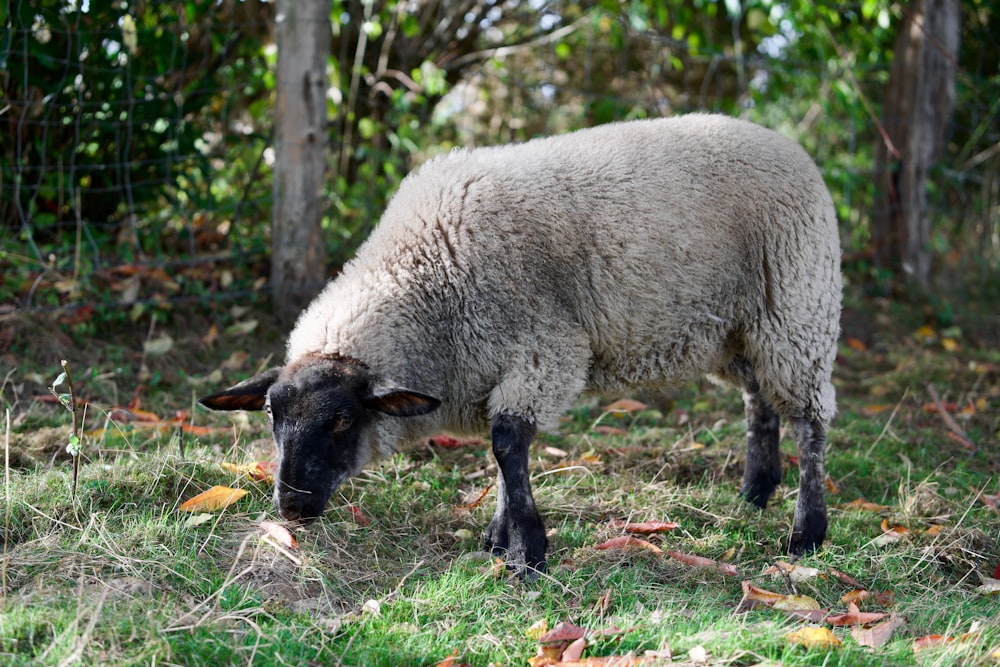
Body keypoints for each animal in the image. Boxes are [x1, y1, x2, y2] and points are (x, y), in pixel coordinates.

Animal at [203, 115, 844, 580]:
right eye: (270, 416)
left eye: (339, 421)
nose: (291, 509)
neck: (428, 274)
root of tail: (788, 145)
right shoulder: (495, 365)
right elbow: (504, 451)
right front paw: (500, 535)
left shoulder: (544, 350)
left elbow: (507, 443)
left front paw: (526, 553)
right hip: (736, 331)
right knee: (760, 401)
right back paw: (755, 493)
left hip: (797, 307)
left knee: (811, 419)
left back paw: (805, 532)